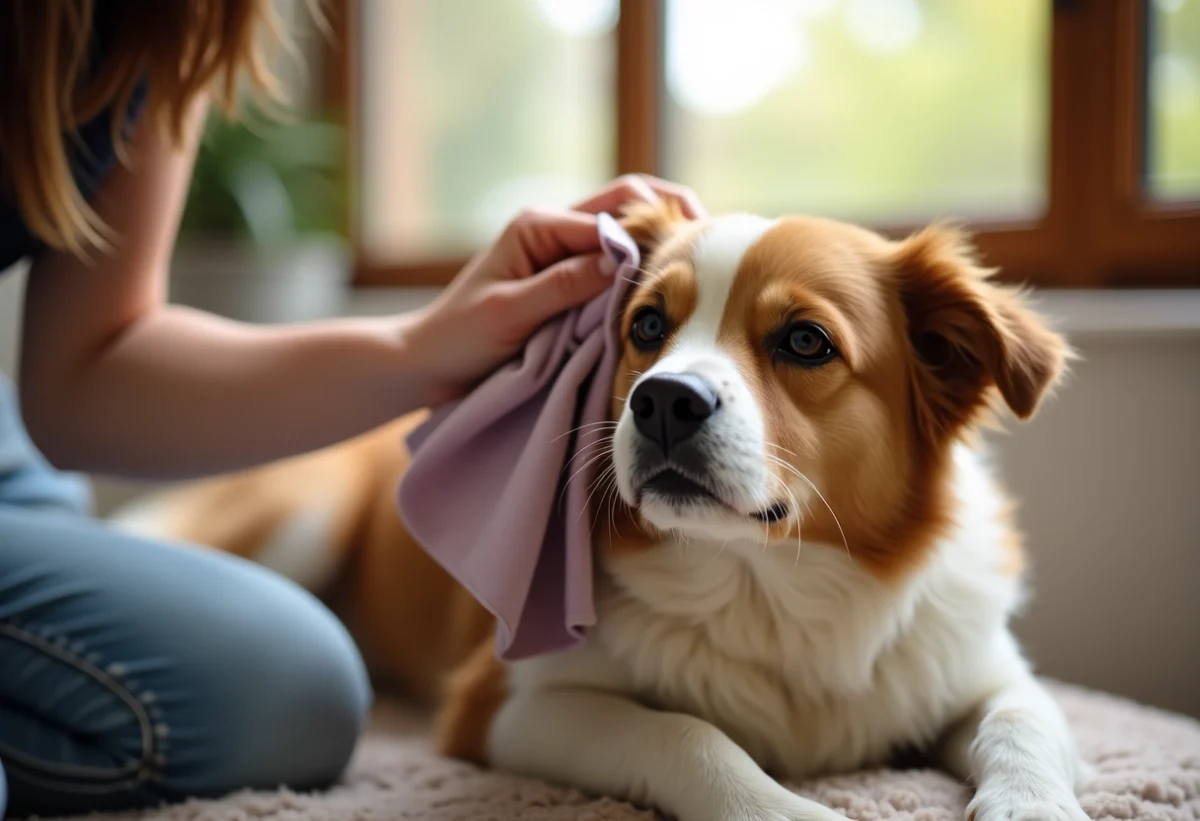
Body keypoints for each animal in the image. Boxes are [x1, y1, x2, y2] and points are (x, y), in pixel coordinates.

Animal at [114, 204, 1089, 820]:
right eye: (648, 325)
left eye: (805, 341)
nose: (663, 401)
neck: (768, 586)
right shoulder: (506, 704)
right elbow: (685, 732)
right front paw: (779, 806)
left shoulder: (979, 667)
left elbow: (1026, 723)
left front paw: (1034, 806)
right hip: (304, 515)